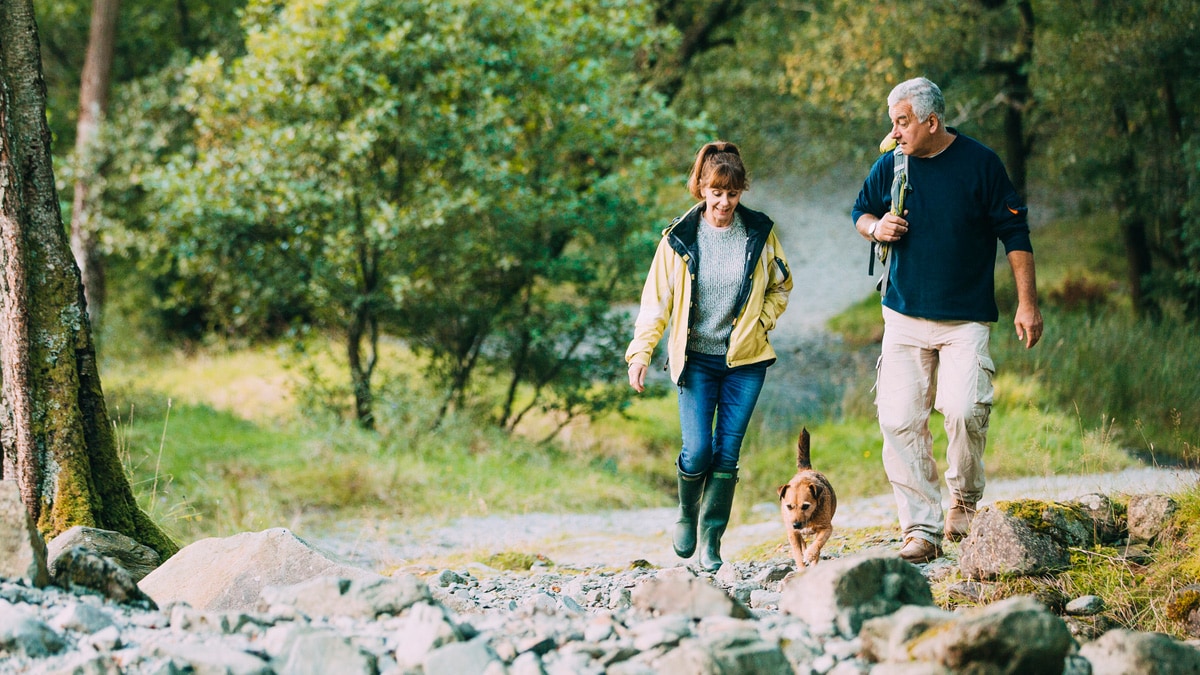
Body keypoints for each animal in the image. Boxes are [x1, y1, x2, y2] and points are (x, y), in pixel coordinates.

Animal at [777, 427, 835, 564]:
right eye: (789, 506)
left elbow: (818, 543)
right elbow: (798, 556)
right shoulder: (793, 534)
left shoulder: (826, 528)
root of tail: (805, 470)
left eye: (805, 506)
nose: (796, 525)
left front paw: (810, 554)